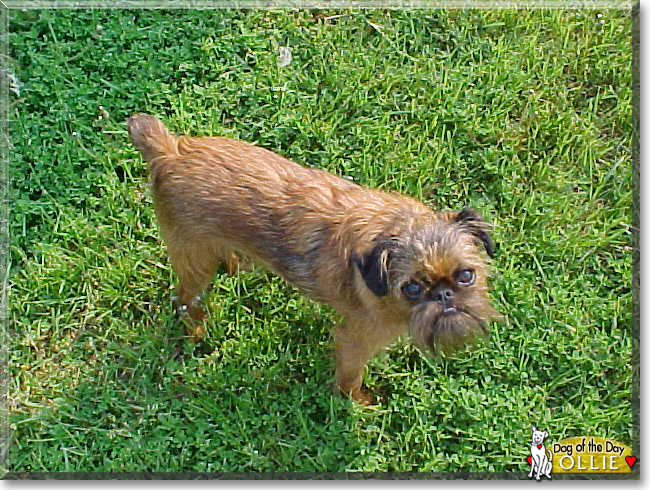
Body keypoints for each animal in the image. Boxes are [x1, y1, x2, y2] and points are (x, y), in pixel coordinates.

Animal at [129, 115, 498, 406]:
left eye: (465, 275)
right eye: (412, 289)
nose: (445, 295)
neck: (395, 228)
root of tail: (171, 151)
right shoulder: (358, 338)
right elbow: (350, 378)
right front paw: (359, 404)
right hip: (193, 260)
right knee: (184, 299)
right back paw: (198, 331)